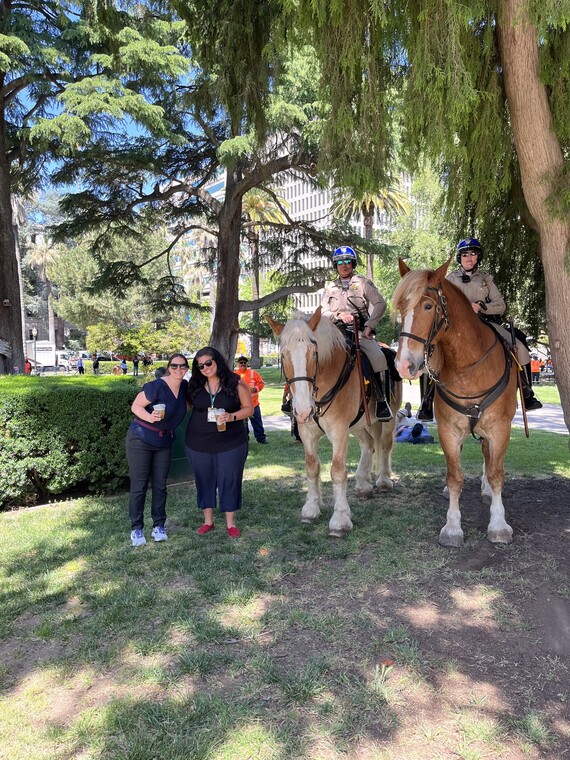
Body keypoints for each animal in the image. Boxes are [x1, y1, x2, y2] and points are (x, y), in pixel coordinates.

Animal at [266, 306, 400, 536]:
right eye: (283, 355)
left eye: (313, 353)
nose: (303, 409)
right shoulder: (307, 431)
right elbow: (312, 467)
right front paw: (311, 508)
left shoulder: (339, 431)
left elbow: (337, 471)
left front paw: (340, 519)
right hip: (357, 425)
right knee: (368, 444)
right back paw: (363, 485)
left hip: (387, 419)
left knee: (385, 444)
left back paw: (383, 480)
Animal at [392, 262, 516, 548]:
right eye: (401, 306)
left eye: (428, 306)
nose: (403, 364)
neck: (467, 367)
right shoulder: (448, 430)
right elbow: (455, 476)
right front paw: (452, 527)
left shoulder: (500, 429)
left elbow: (497, 474)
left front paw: (498, 524)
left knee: (488, 457)